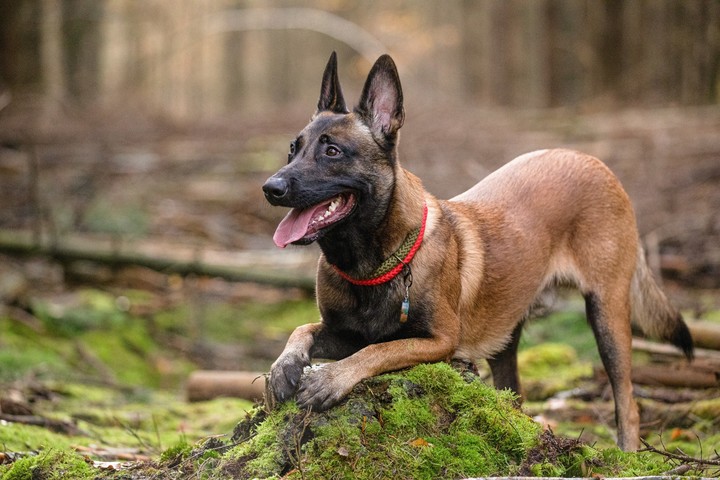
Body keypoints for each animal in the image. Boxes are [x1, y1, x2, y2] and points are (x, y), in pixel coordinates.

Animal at [262, 53, 696, 454]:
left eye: (333, 151)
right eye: (292, 149)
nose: (271, 188)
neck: (369, 264)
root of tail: (593, 160)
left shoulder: (438, 342)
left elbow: (379, 349)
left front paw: (330, 378)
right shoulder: (341, 332)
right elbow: (304, 329)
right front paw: (283, 366)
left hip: (607, 314)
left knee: (628, 402)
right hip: (506, 340)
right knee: (515, 396)